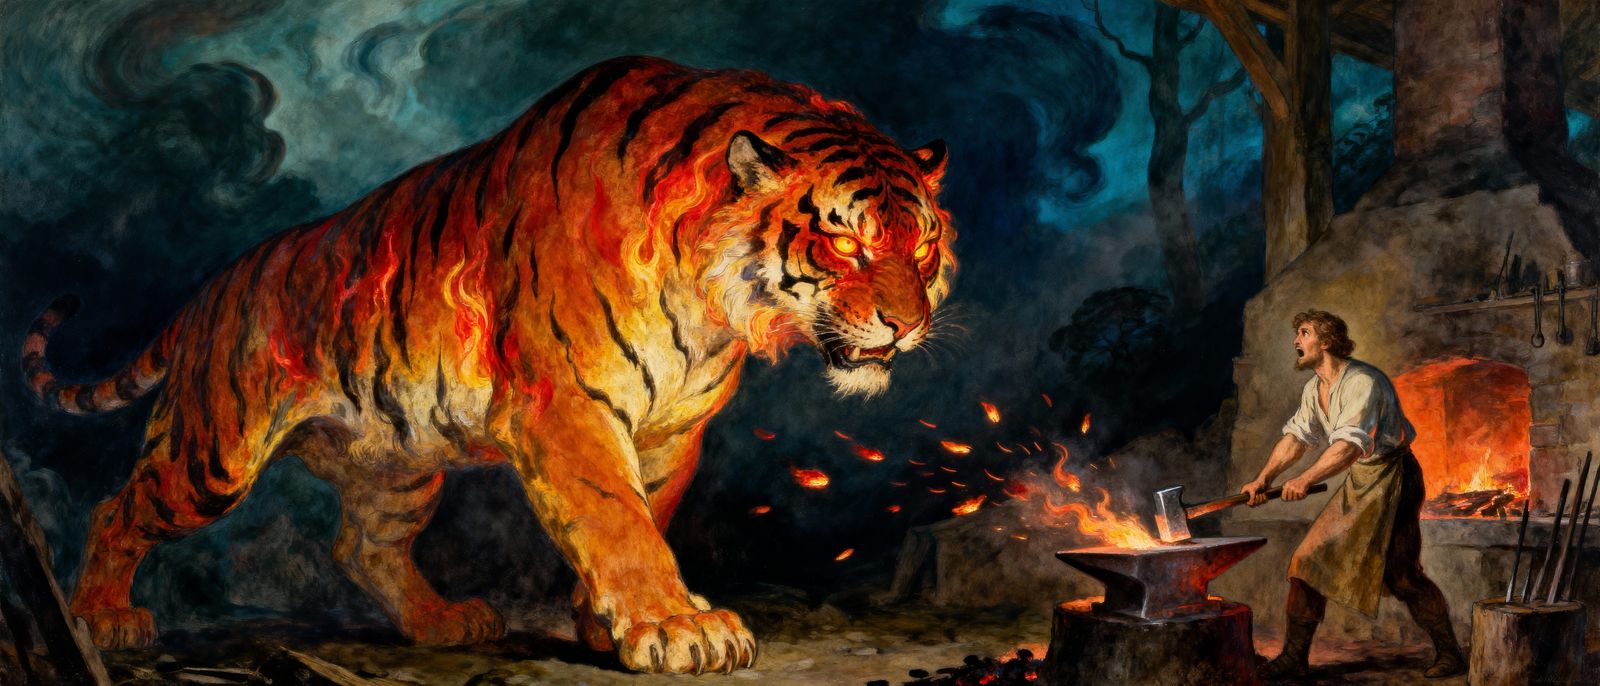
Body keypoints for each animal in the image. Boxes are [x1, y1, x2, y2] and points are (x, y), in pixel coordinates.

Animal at [22, 55, 953, 674]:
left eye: (923, 245)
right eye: (846, 242)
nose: (909, 325)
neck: (715, 306)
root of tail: (209, 292)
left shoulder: (673, 429)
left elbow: (646, 512)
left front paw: (613, 626)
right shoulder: (568, 406)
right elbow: (616, 519)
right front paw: (677, 627)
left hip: (398, 465)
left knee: (361, 545)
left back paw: (441, 623)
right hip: (212, 455)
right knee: (116, 508)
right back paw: (102, 618)